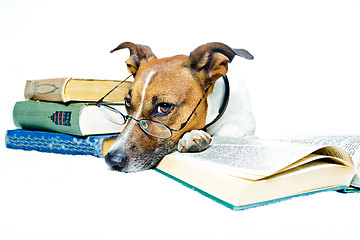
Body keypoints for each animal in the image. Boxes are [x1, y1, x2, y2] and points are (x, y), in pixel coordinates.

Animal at [104, 41, 256, 172]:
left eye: (164, 107)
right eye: (127, 102)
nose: (112, 160)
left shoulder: (248, 124)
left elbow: (225, 131)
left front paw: (193, 135)